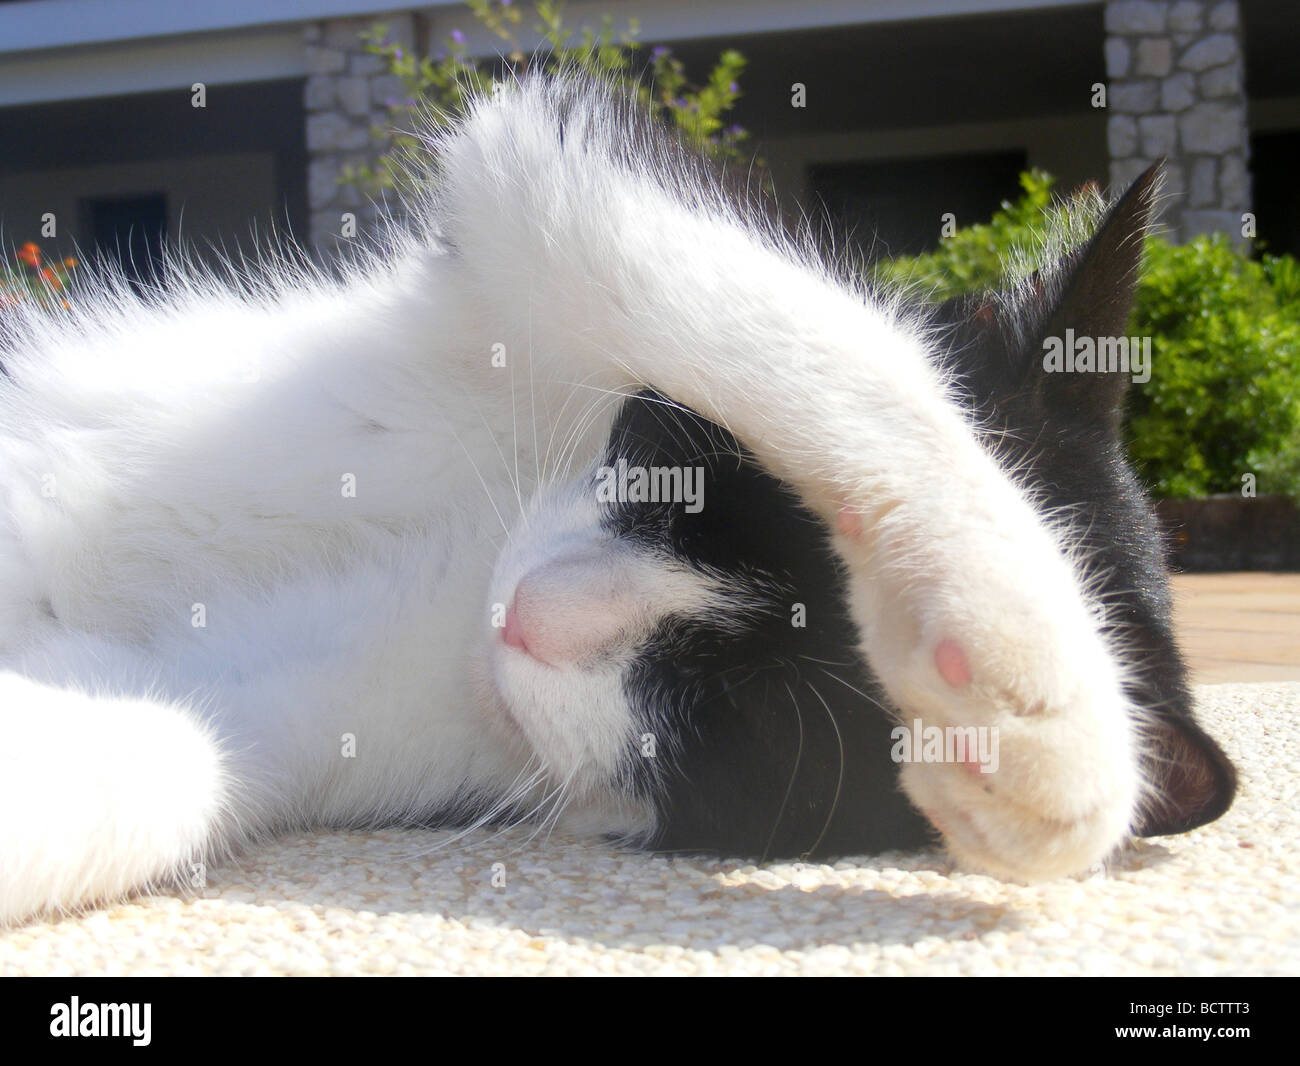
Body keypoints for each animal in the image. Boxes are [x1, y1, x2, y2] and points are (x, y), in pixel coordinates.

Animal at [0, 77, 1237, 925]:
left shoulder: (303, 707)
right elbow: (795, 319)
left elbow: (181, 746)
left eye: (738, 706)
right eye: (692, 473)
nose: (533, 614)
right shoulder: (538, 179)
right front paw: (1029, 661)